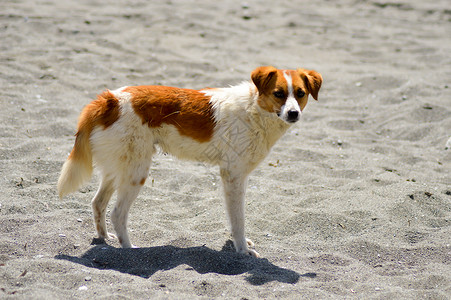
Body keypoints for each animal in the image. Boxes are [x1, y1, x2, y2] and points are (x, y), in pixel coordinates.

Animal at [58, 67, 324, 256]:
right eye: (279, 94)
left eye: (300, 94)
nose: (293, 114)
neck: (254, 109)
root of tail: (108, 99)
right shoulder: (233, 175)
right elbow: (238, 219)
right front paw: (242, 250)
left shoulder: (236, 177)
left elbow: (233, 217)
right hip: (136, 172)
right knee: (117, 213)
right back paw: (129, 250)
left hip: (119, 168)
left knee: (98, 203)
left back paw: (104, 238)